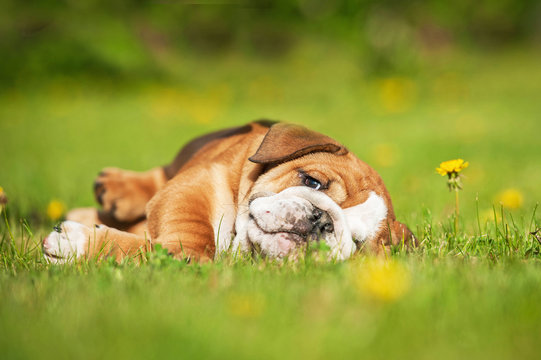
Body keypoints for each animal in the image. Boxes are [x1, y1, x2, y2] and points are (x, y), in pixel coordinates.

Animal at [43, 121, 414, 264]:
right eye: (312, 182)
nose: (322, 221)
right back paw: (117, 187)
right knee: (160, 174)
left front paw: (77, 243)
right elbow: (192, 228)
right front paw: (187, 252)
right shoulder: (203, 180)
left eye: (357, 243)